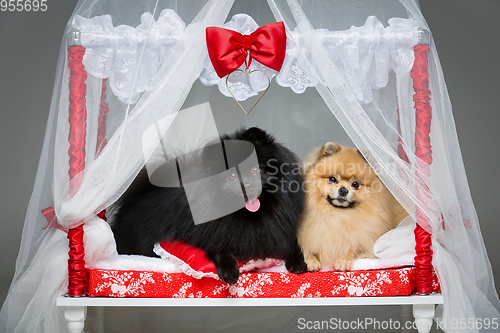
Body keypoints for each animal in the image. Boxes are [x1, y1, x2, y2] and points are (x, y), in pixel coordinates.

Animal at [113, 127, 306, 282]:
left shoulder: (281, 231)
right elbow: (220, 248)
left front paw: (298, 262)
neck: (249, 215)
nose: (248, 185)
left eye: (256, 170)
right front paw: (229, 270)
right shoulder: (211, 233)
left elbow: (293, 244)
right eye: (232, 176)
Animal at [296, 142, 406, 270]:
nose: (343, 190)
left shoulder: (369, 245)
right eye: (332, 179)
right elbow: (307, 250)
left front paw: (342, 260)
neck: (338, 215)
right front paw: (310, 261)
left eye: (355, 184)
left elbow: (352, 249)